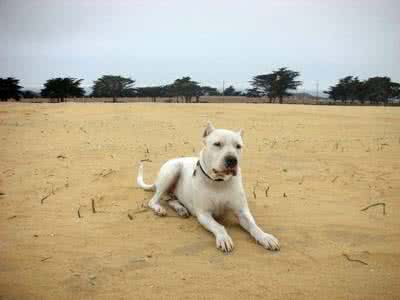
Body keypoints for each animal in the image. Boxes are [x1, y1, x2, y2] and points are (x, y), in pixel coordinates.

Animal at [138, 121, 282, 251]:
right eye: (217, 144)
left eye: (238, 146)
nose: (232, 160)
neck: (219, 182)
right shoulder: (204, 214)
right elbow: (218, 226)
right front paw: (224, 238)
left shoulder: (242, 212)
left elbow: (254, 226)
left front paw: (265, 237)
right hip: (172, 170)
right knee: (154, 200)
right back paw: (159, 208)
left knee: (170, 198)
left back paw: (180, 208)